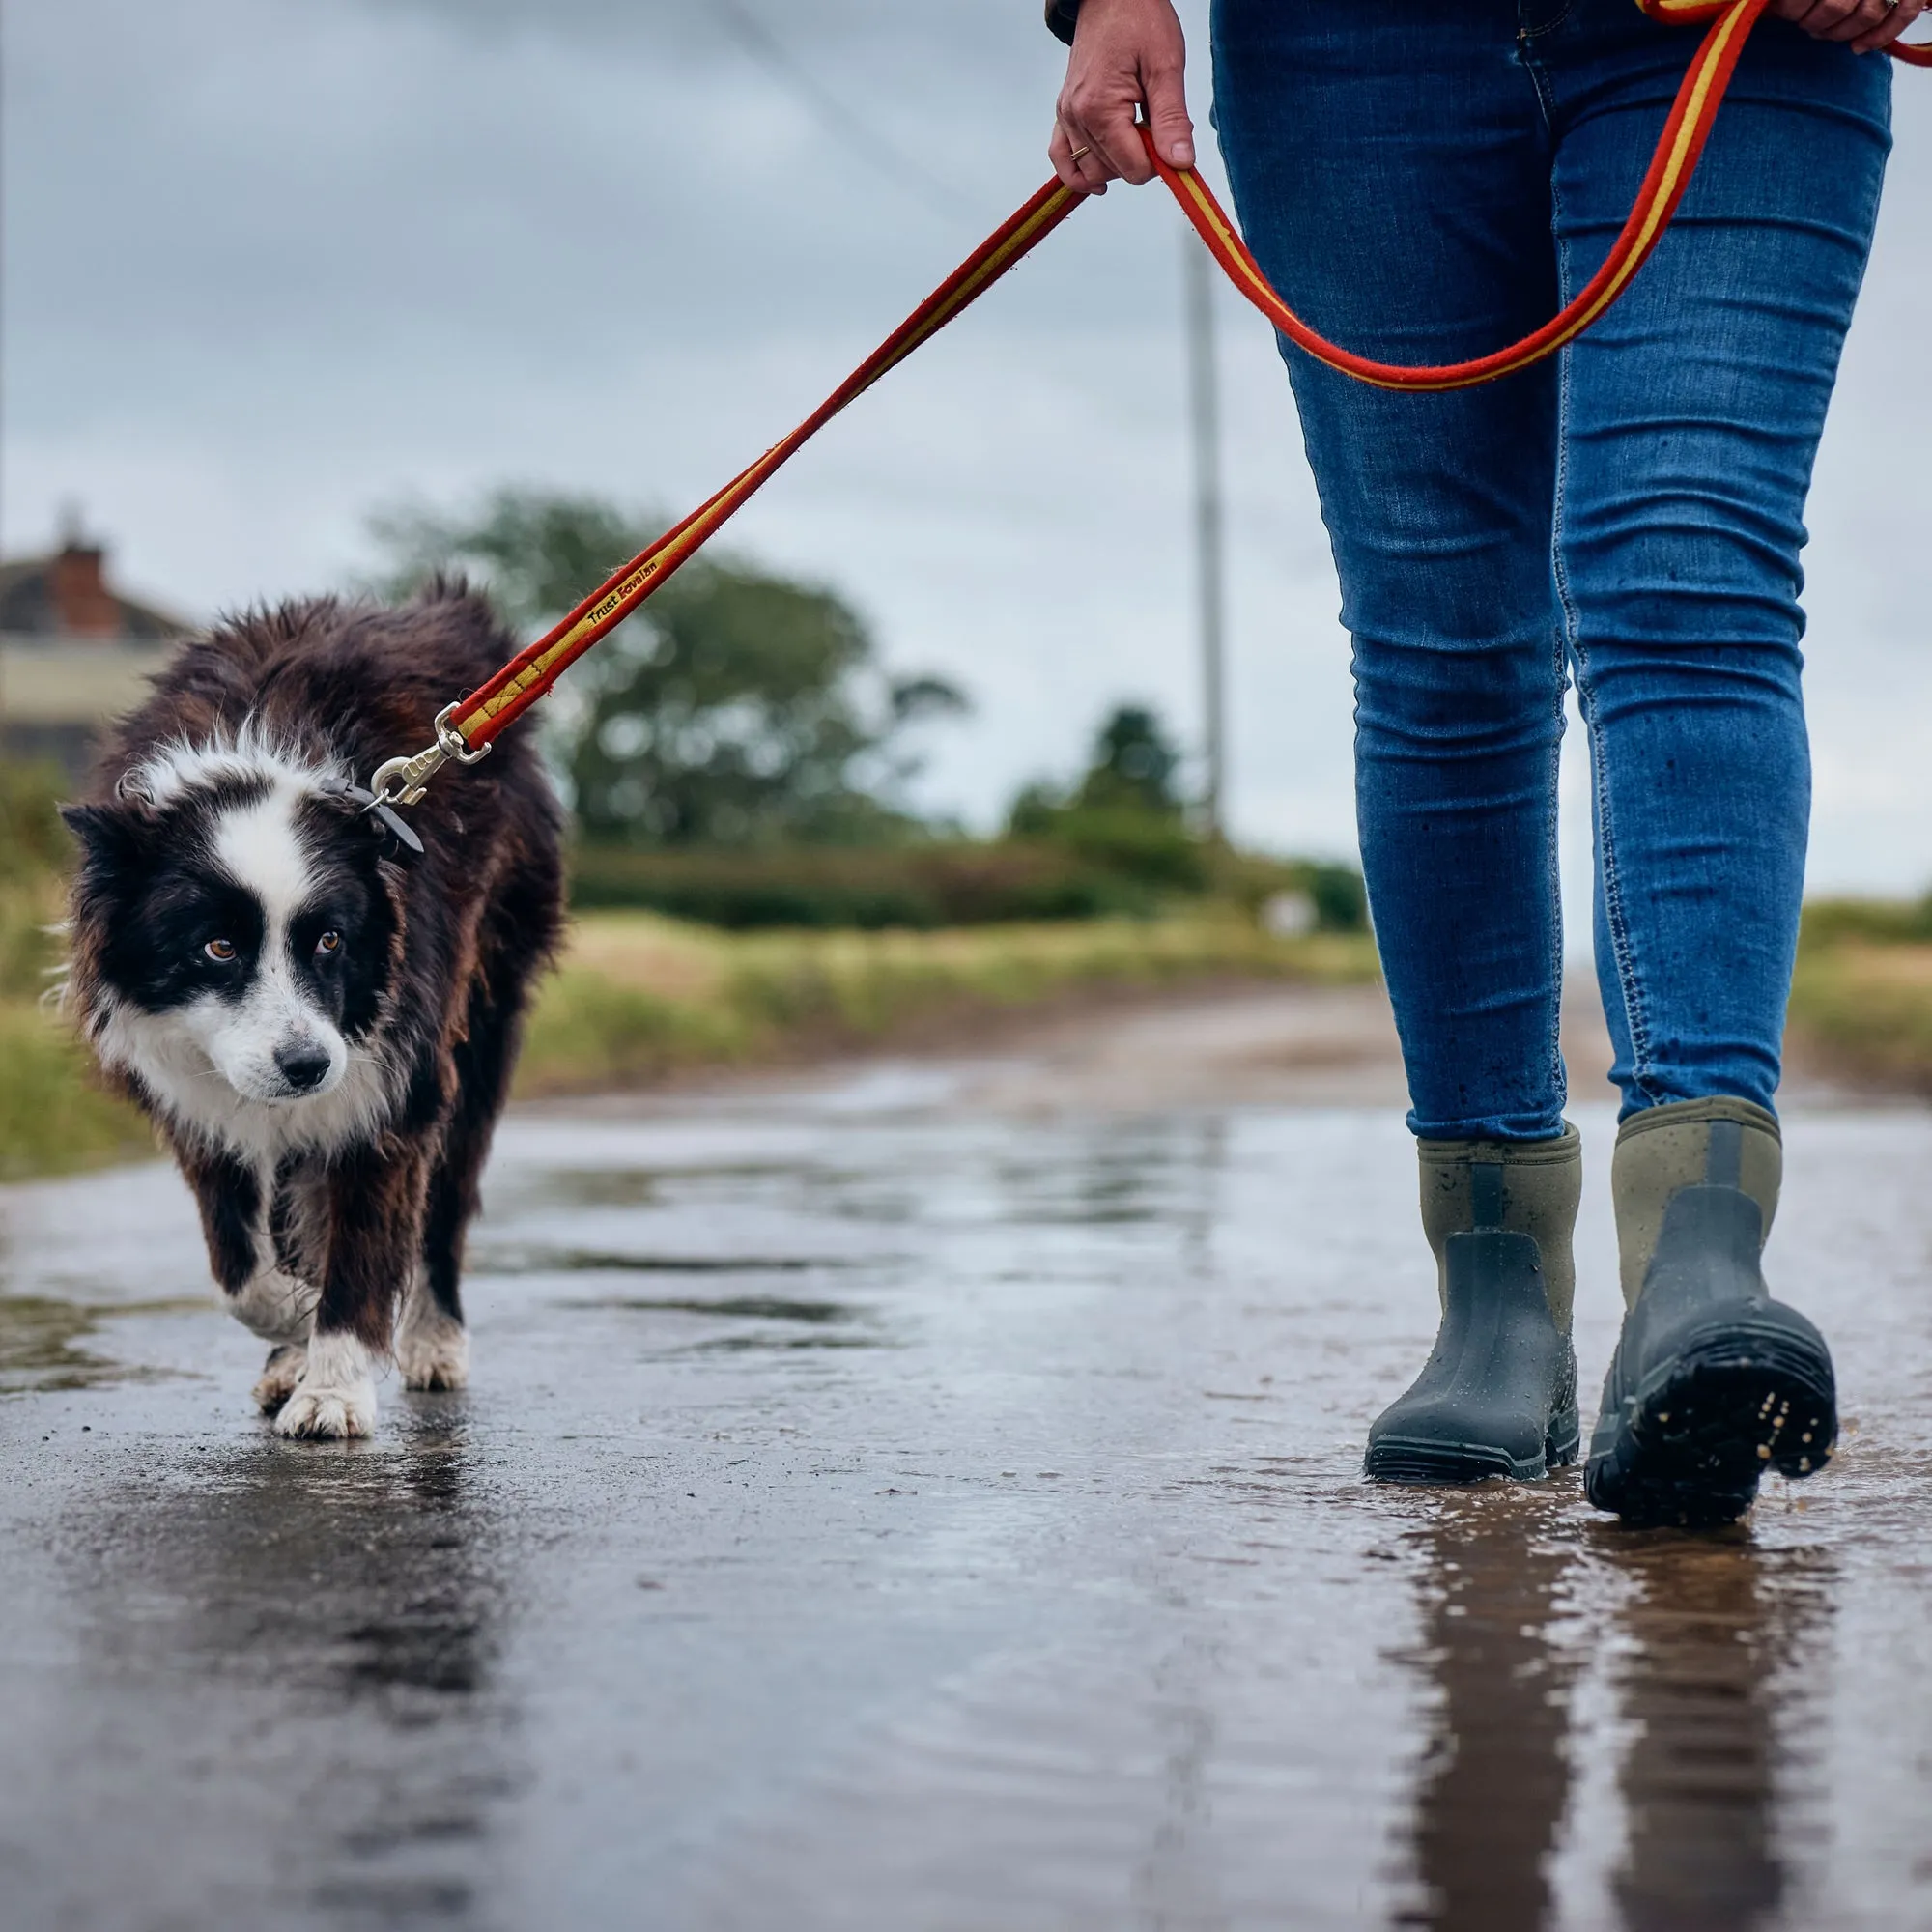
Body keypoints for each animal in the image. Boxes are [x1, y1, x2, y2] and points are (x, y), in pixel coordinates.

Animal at [64, 587, 564, 1437]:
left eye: (330, 940)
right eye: (218, 947)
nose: (307, 1066)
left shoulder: (391, 1078)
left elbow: (361, 1244)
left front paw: (332, 1390)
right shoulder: (198, 1088)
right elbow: (239, 1265)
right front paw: (295, 1323)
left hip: (484, 1012)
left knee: (446, 1198)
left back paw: (433, 1341)